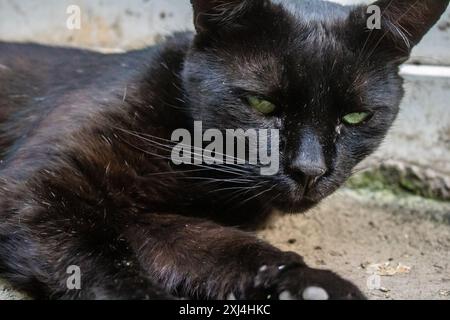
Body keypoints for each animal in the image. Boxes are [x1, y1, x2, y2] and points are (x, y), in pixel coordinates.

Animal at [0, 0, 446, 300]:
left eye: (355, 117)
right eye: (262, 104)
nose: (310, 170)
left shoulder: (148, 219)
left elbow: (226, 248)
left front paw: (311, 285)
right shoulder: (34, 192)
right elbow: (99, 262)